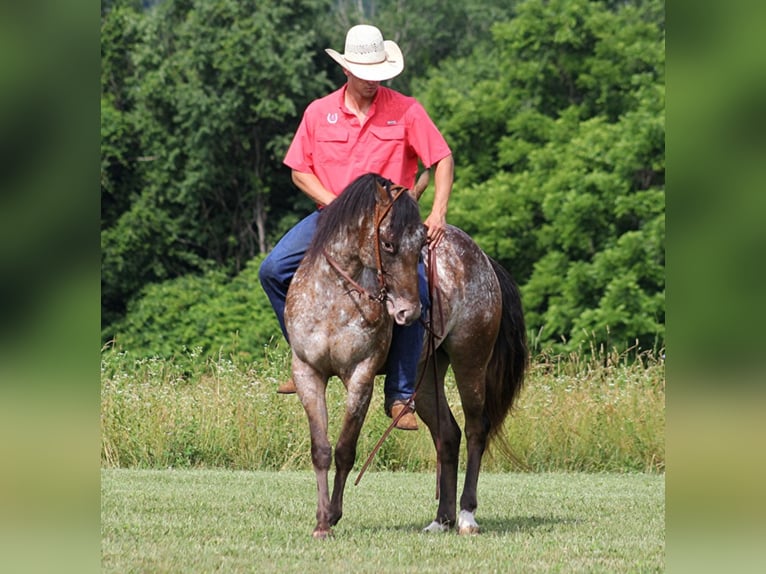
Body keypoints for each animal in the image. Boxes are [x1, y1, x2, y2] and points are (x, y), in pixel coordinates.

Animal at [284, 171, 528, 540]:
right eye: (387, 244)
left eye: (421, 245)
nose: (408, 312)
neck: (335, 299)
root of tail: (484, 260)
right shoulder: (308, 373)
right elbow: (321, 449)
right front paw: (322, 521)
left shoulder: (361, 375)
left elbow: (345, 449)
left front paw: (334, 515)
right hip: (426, 377)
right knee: (448, 435)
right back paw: (441, 519)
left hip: (470, 361)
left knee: (476, 430)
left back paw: (466, 516)